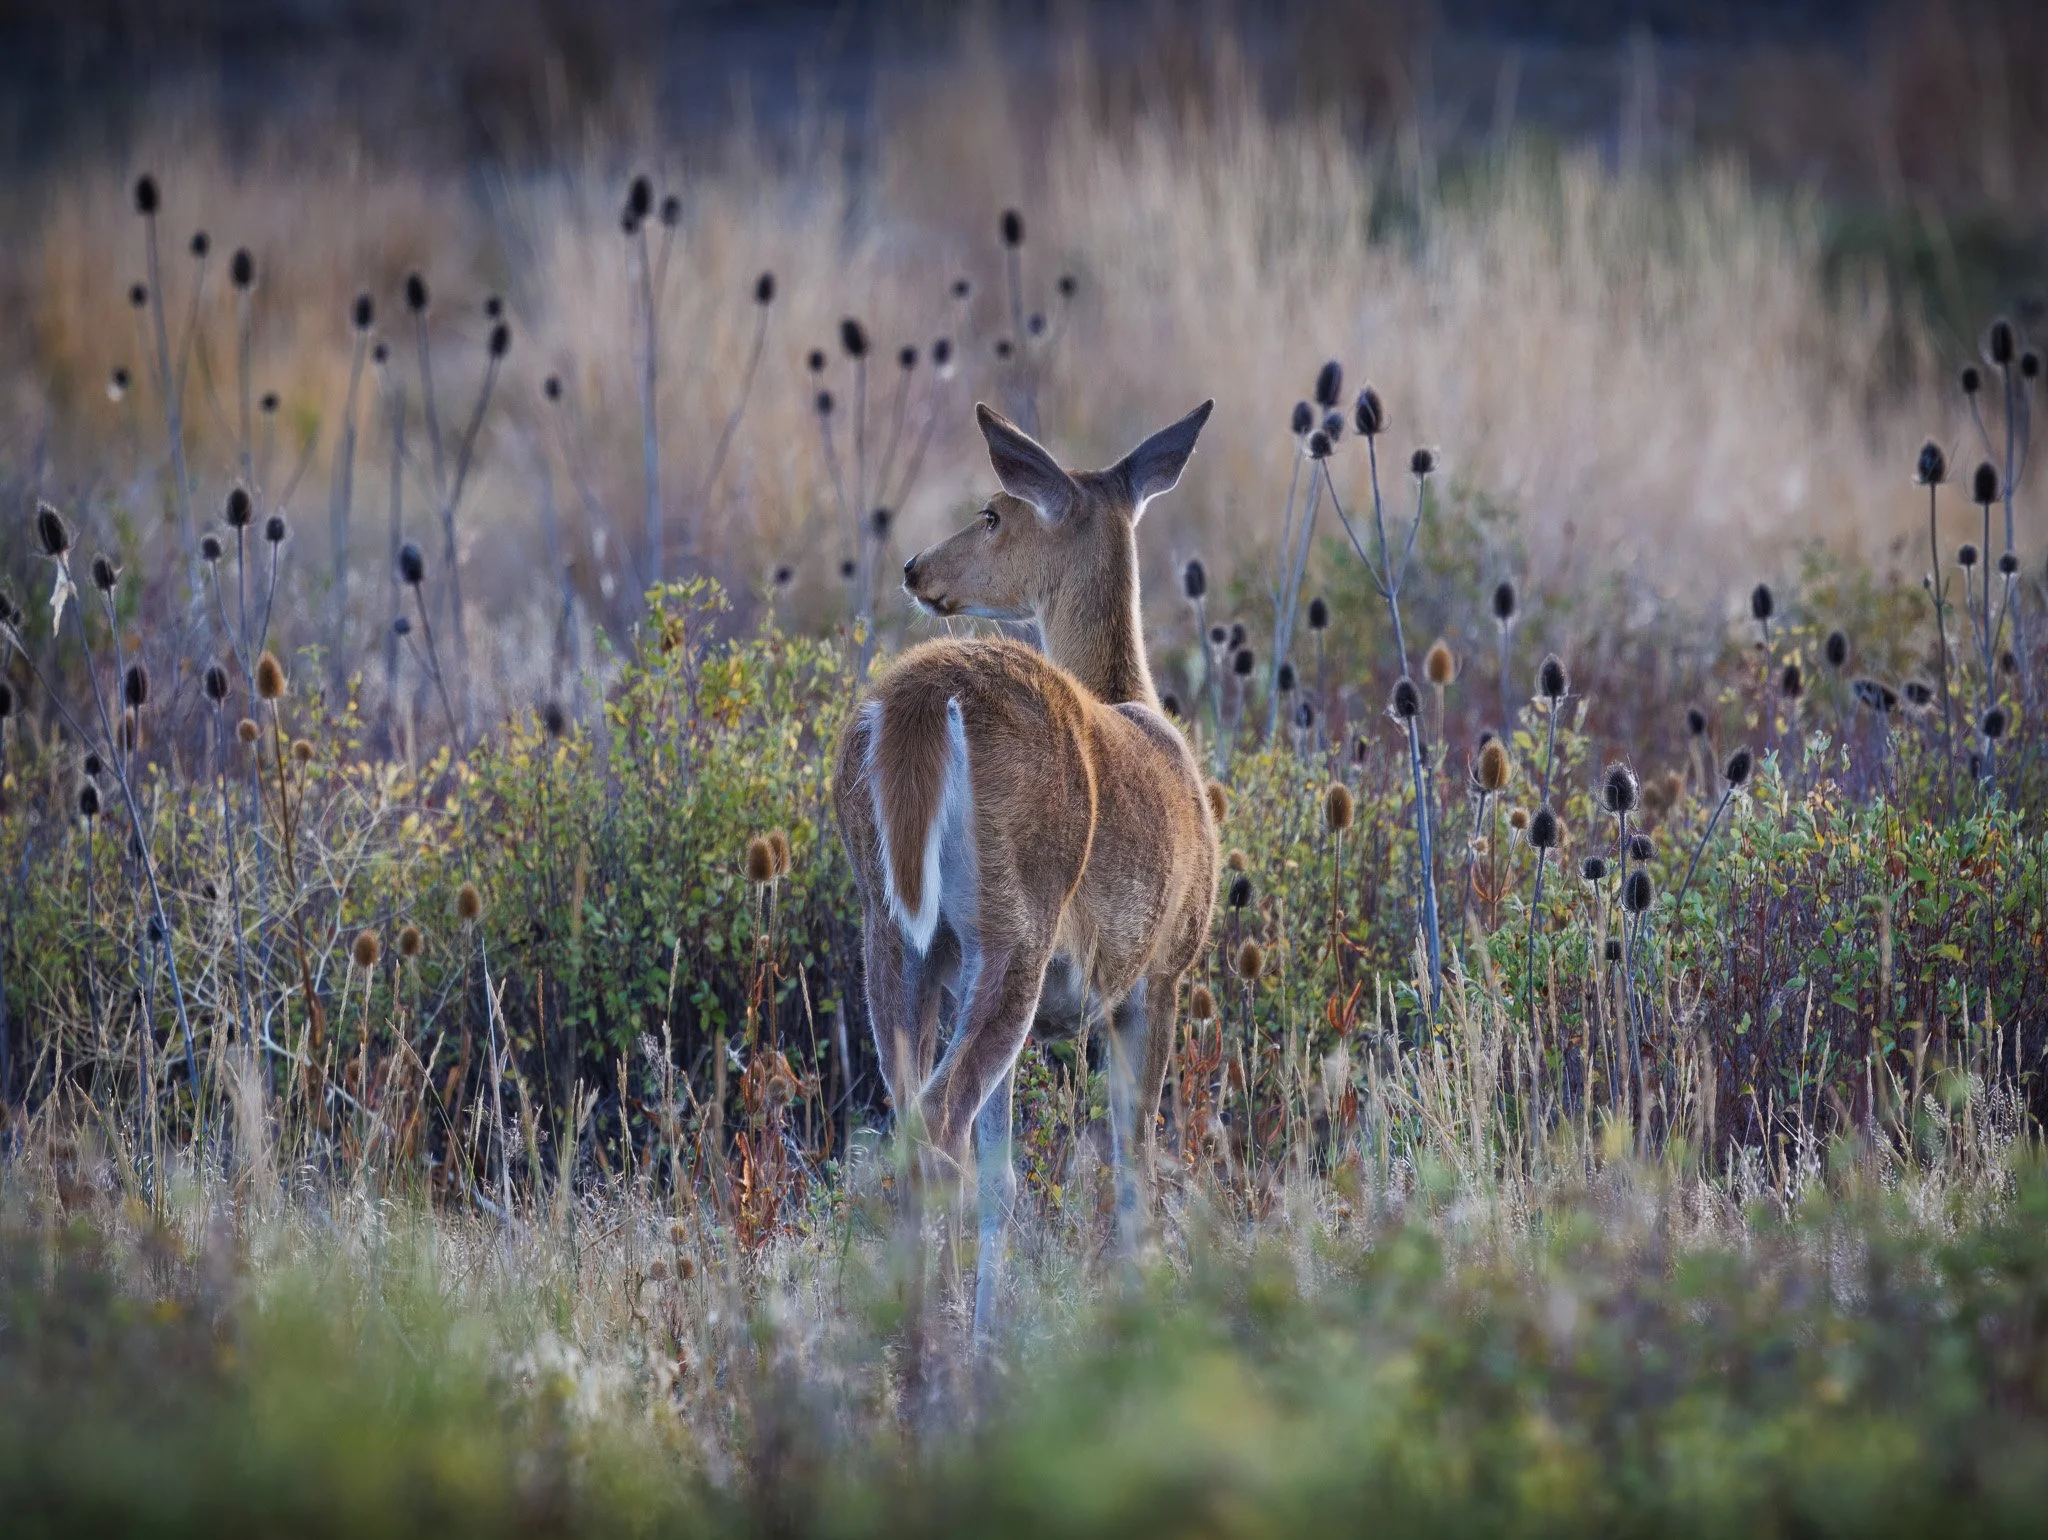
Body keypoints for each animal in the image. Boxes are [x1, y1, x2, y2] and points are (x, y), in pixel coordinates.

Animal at [831, 399, 1219, 1338]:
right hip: (1015, 923)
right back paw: (934, 1347)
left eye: (991, 514)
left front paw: (993, 1325)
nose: (914, 568)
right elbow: (1132, 1169)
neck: (1131, 696)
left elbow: (1008, 1181)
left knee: (913, 1118)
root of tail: (919, 707)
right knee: (940, 1122)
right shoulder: (1160, 971)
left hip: (893, 930)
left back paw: (925, 1330)